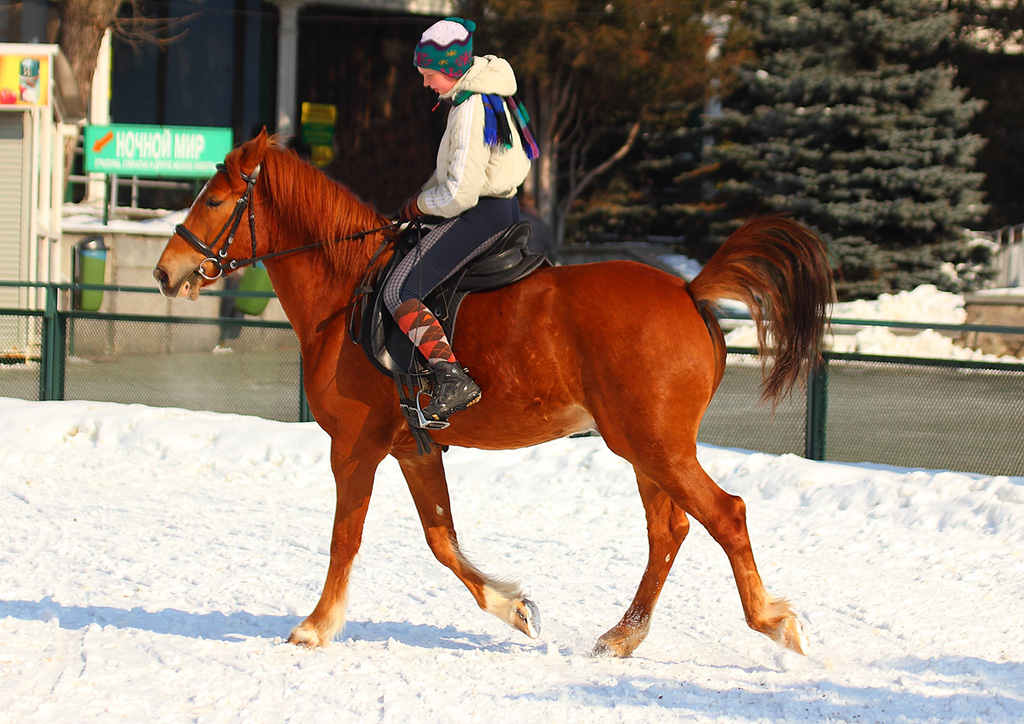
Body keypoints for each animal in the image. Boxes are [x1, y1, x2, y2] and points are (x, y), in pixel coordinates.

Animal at [155, 130, 835, 655]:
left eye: (215, 199)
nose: (165, 272)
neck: (344, 291)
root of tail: (688, 291)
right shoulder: (414, 448)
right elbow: (442, 541)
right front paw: (513, 607)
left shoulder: (354, 446)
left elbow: (345, 538)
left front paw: (316, 627)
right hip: (647, 450)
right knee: (669, 531)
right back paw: (623, 635)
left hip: (655, 446)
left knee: (726, 514)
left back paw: (772, 623)